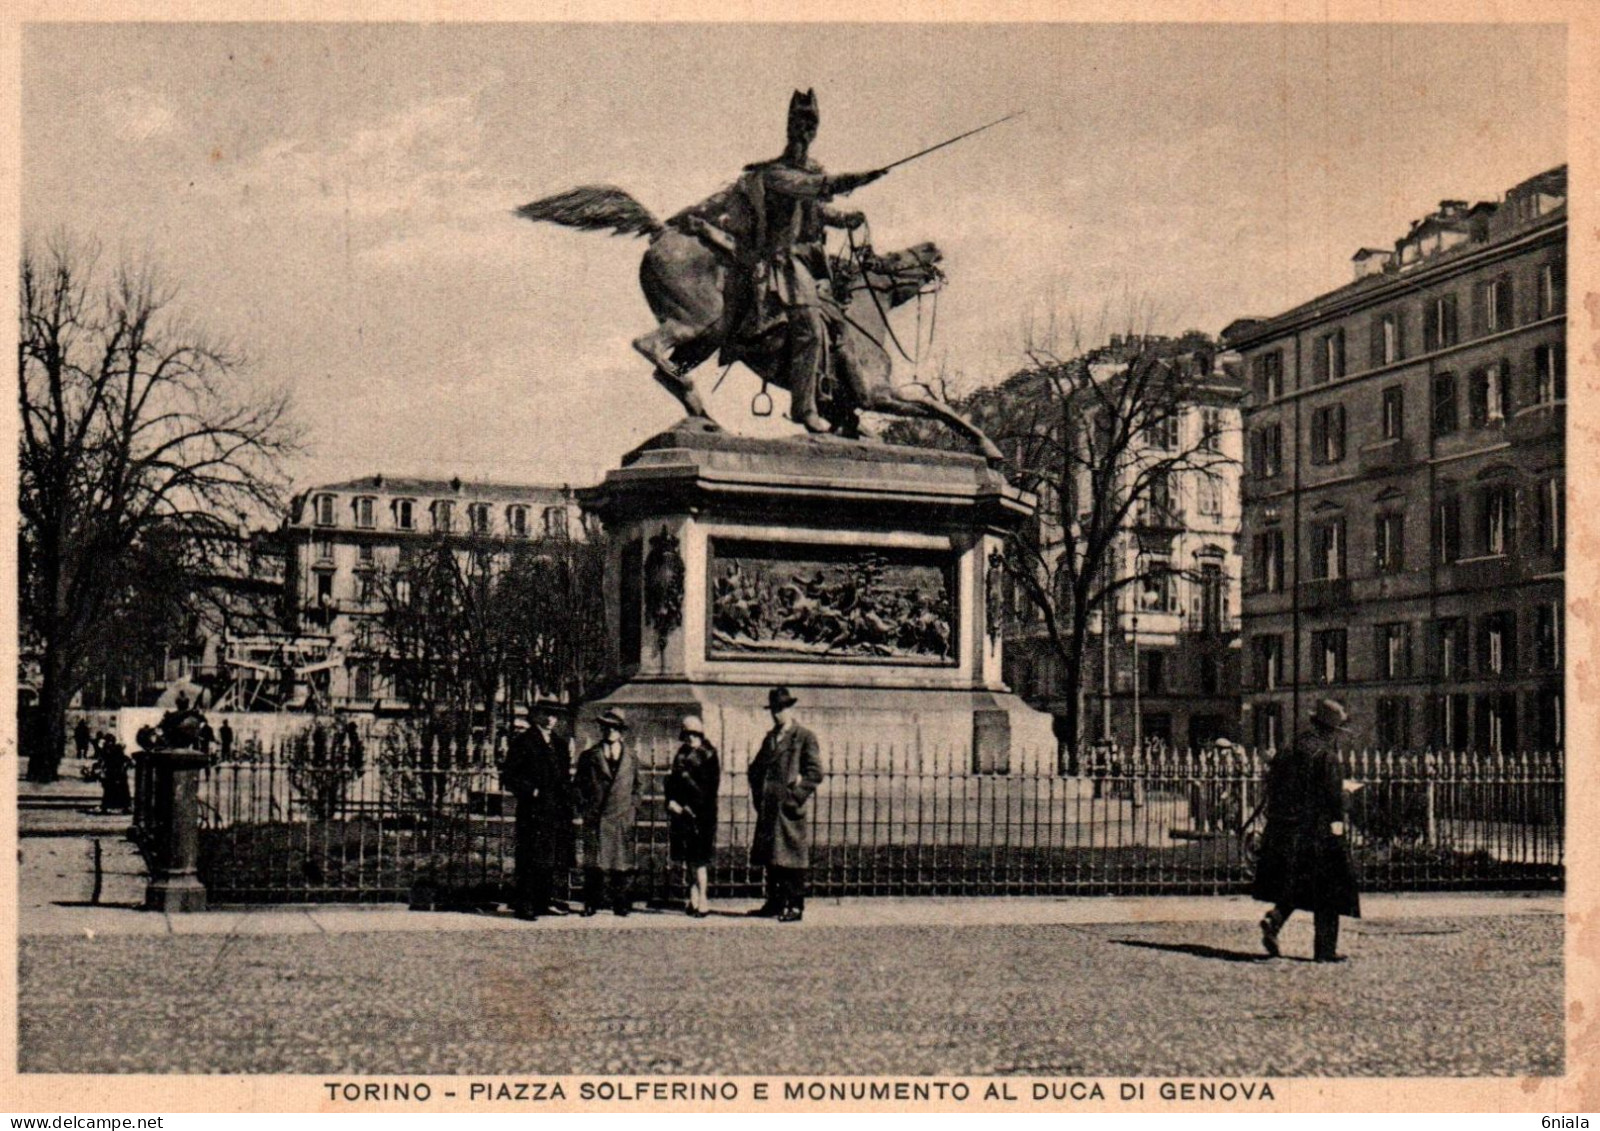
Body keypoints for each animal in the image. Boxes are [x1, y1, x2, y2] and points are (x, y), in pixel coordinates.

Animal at [512, 187, 998, 463]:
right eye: (894, 258)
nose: (933, 247)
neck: (860, 319)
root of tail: (661, 232)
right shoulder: (876, 393)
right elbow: (937, 406)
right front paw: (988, 448)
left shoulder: (857, 400)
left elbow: (885, 419)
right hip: (697, 321)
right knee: (647, 346)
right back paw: (699, 406)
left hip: (706, 337)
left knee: (660, 367)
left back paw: (703, 415)